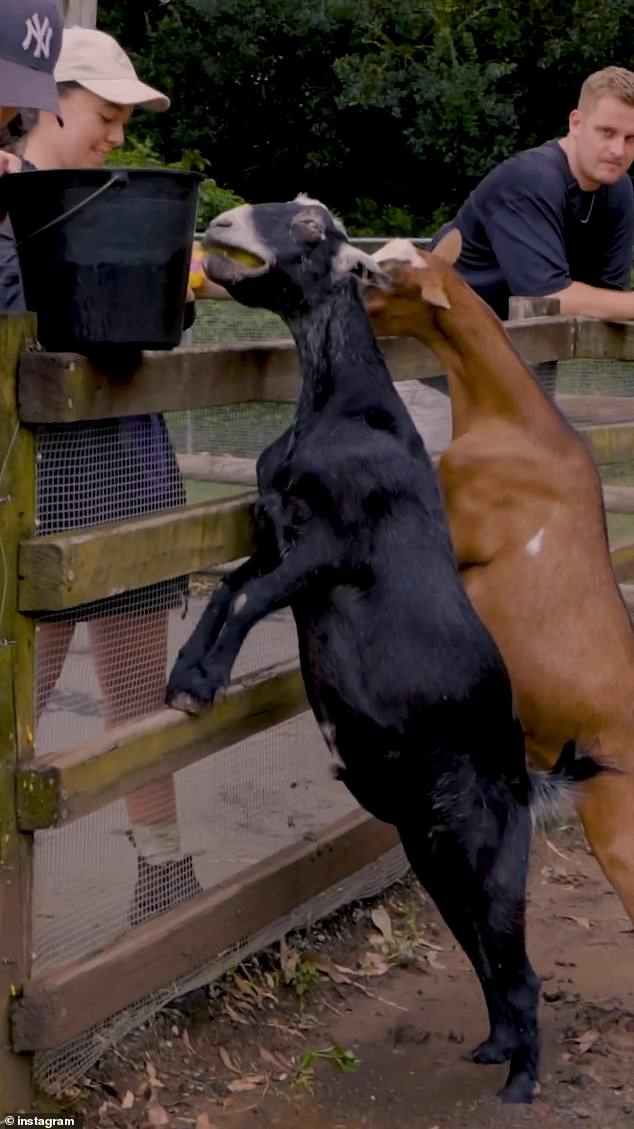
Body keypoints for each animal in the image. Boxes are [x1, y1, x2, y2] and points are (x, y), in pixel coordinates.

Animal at [165, 198, 600, 1106]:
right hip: (430, 850)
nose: (223, 221)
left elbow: (247, 597)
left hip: (489, 850)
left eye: (310, 224)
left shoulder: (333, 548)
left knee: (520, 967)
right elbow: (229, 588)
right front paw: (189, 674)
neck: (343, 408)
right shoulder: (277, 534)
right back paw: (494, 1048)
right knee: (484, 958)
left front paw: (201, 680)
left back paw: (522, 1083)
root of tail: (524, 775)